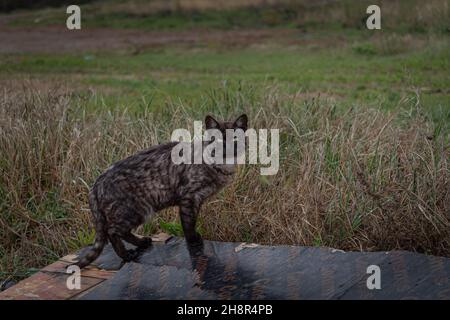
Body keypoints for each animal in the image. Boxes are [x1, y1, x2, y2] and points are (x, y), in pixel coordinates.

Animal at [75, 114, 248, 268]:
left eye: (235, 139)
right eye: (218, 141)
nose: (227, 148)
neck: (221, 165)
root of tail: (96, 182)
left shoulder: (197, 200)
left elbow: (192, 220)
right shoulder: (188, 198)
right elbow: (188, 223)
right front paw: (193, 241)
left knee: (120, 232)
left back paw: (142, 242)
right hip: (136, 210)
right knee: (112, 231)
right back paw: (126, 254)